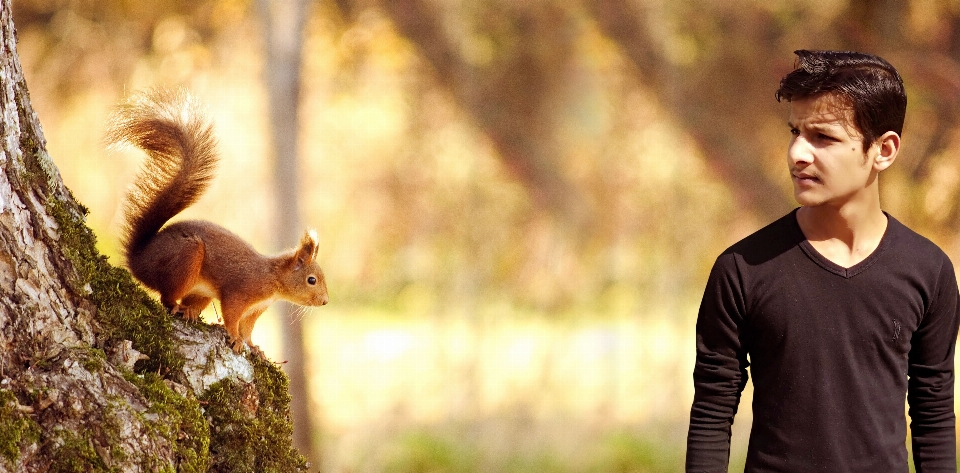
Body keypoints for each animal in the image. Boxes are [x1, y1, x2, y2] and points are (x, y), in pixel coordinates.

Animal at [107, 88, 328, 356]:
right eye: (311, 280)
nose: (325, 301)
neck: (272, 279)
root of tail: (139, 260)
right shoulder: (240, 292)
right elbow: (232, 316)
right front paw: (234, 338)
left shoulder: (256, 309)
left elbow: (248, 328)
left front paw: (254, 347)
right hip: (186, 258)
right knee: (166, 297)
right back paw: (178, 307)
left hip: (201, 290)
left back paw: (190, 311)